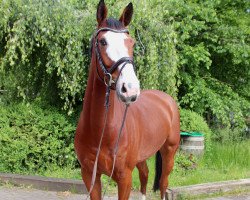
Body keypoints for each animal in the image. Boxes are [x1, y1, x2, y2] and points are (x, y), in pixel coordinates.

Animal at [73, 0, 180, 199]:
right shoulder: (90, 175)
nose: (130, 89)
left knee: (163, 183)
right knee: (145, 175)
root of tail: (166, 99)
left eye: (132, 42)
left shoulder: (124, 178)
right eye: (102, 41)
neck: (101, 131)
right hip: (142, 157)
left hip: (169, 151)